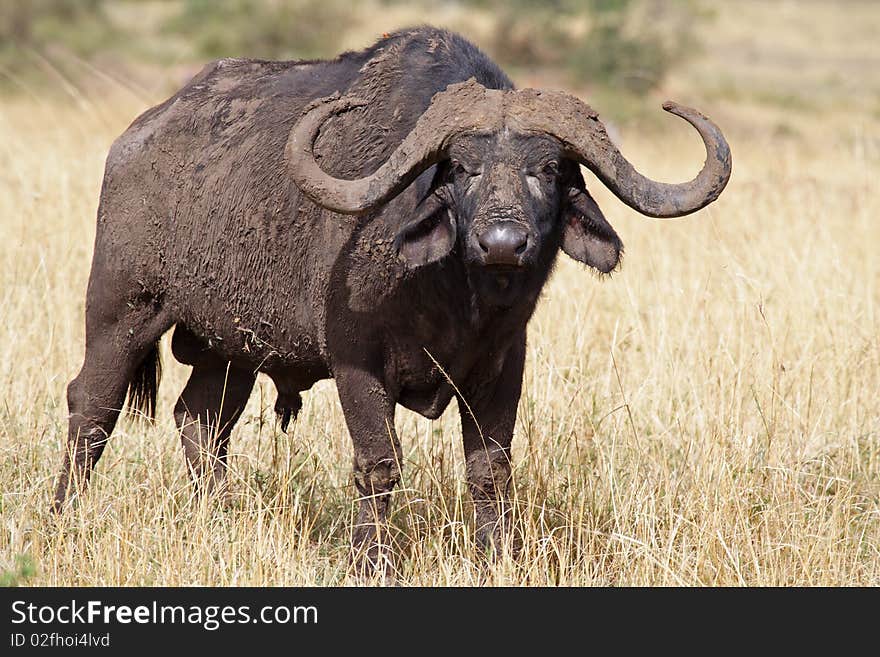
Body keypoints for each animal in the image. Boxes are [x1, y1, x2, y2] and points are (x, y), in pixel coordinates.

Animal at [51, 26, 732, 568]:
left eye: (547, 170)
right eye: (461, 170)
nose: (503, 242)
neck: (454, 299)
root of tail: (136, 138)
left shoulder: (502, 368)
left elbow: (490, 471)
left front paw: (497, 555)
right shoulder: (357, 365)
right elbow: (378, 464)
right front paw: (369, 558)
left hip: (230, 347)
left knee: (201, 424)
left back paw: (216, 515)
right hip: (122, 309)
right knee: (92, 406)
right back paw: (64, 517)